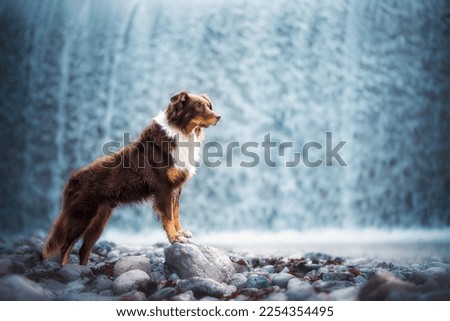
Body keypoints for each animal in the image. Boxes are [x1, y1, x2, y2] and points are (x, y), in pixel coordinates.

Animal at [41, 90, 221, 264]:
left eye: (208, 105)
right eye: (198, 106)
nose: (219, 117)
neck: (181, 132)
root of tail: (72, 180)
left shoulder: (176, 188)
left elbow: (176, 212)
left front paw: (181, 232)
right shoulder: (163, 187)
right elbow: (168, 215)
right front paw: (174, 238)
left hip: (98, 221)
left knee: (84, 249)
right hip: (81, 216)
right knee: (65, 249)